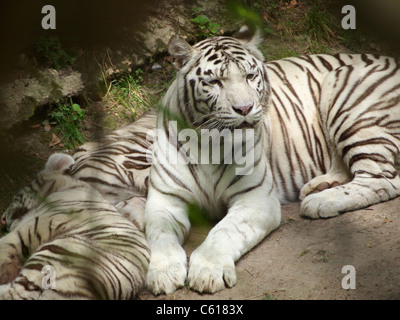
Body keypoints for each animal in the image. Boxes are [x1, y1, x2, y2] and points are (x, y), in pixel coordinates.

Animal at [0, 154, 149, 298]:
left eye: (15, 197)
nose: (2, 219)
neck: (70, 186)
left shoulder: (42, 220)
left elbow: (9, 240)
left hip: (57, 252)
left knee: (18, 293)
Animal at [144, 28, 400, 296]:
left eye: (249, 76)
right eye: (214, 82)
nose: (245, 108)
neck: (209, 143)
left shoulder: (256, 199)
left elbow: (223, 232)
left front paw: (208, 270)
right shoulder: (165, 199)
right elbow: (160, 235)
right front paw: (163, 273)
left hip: (344, 93)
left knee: (382, 179)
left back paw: (320, 201)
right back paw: (318, 187)